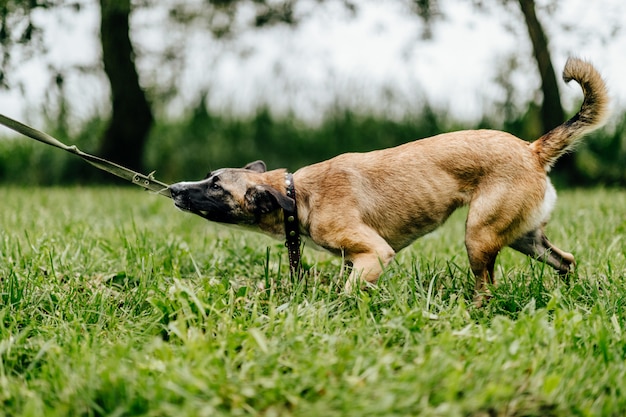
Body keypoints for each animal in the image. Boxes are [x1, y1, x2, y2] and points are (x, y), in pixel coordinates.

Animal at [168, 57, 608, 302]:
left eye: (215, 185)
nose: (173, 189)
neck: (298, 195)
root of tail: (531, 149)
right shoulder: (356, 259)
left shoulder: (375, 253)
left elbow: (347, 293)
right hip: (522, 236)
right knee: (566, 261)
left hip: (479, 237)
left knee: (488, 287)